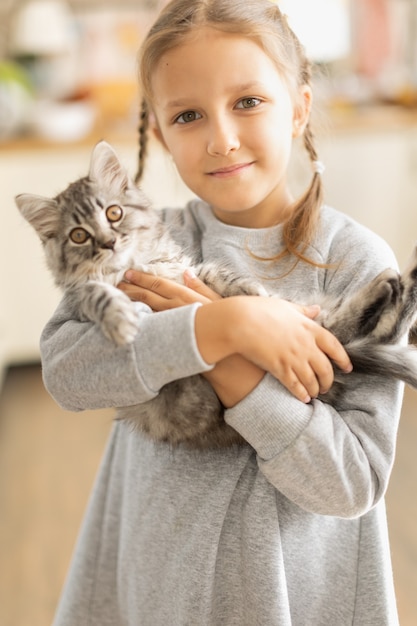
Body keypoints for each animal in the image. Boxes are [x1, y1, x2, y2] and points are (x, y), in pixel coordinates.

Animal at [14, 140, 416, 446]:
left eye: (114, 213)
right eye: (79, 235)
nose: (109, 243)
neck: (138, 263)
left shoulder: (187, 268)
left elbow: (219, 275)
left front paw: (248, 290)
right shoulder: (79, 298)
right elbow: (101, 296)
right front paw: (121, 321)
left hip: (311, 320)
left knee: (355, 330)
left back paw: (399, 281)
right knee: (353, 333)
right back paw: (393, 287)